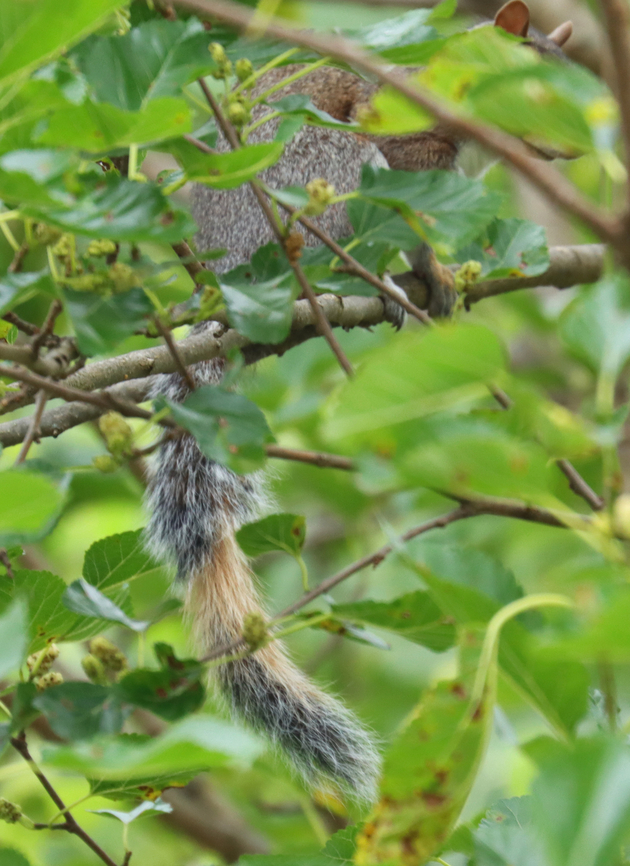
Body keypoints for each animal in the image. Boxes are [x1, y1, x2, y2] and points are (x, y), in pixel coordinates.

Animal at [145, 1, 573, 803]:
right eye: (528, 89)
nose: (568, 149)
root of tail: (229, 283)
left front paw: (443, 277)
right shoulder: (403, 139)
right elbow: (410, 213)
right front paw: (432, 272)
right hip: (327, 173)